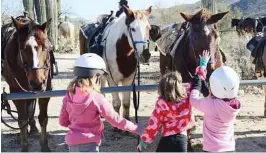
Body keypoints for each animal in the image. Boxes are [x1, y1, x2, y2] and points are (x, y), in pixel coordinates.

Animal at [1, 16, 53, 151]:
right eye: (23, 49)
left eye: (46, 47)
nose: (37, 83)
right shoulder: (16, 92)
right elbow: (22, 120)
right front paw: (24, 146)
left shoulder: (46, 89)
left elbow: (43, 118)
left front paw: (44, 145)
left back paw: (33, 128)